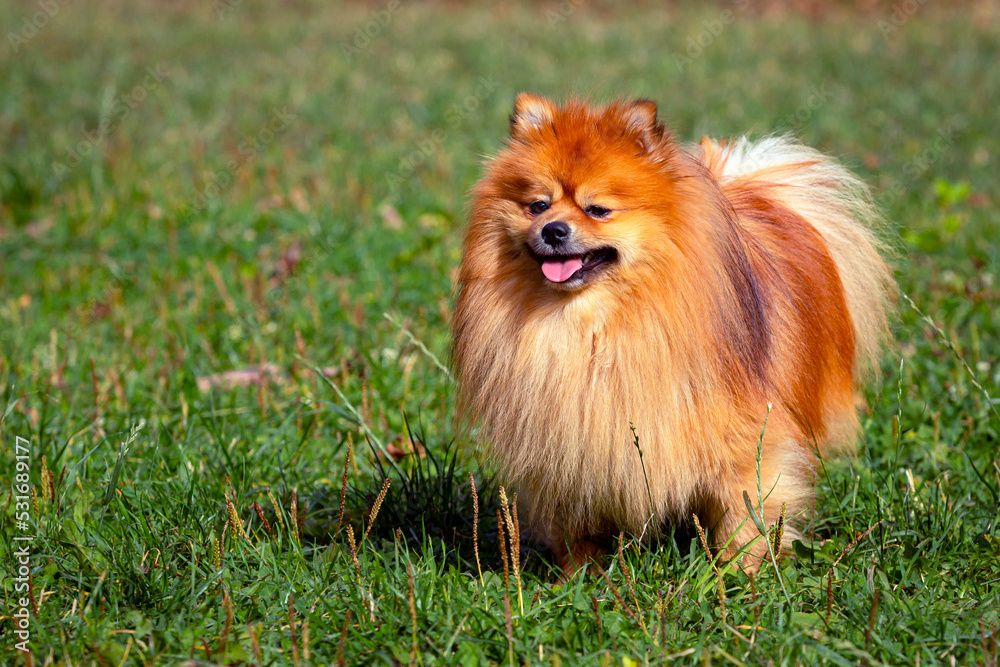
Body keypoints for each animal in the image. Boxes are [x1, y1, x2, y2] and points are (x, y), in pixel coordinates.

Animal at [450, 92, 896, 576]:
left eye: (598, 209)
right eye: (537, 206)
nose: (553, 230)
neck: (591, 326)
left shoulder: (743, 439)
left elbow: (745, 513)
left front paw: (740, 576)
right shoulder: (568, 449)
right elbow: (578, 529)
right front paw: (579, 578)